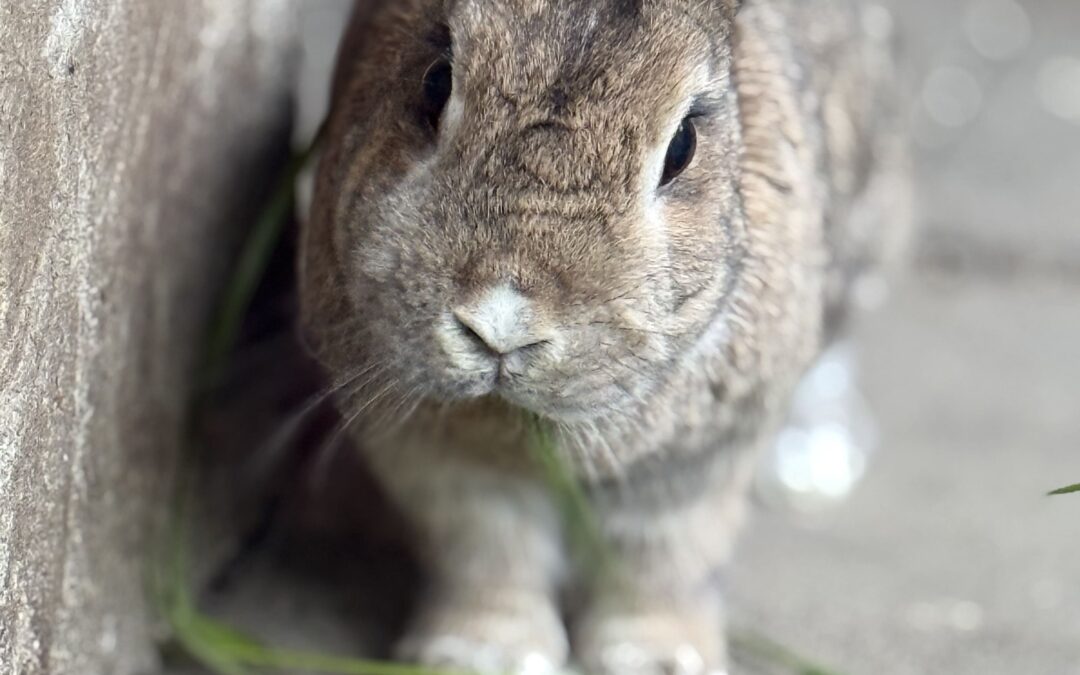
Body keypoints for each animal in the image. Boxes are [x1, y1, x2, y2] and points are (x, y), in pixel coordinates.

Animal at [298, 0, 909, 672]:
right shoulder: (445, 469)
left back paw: (814, 466)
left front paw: (655, 658)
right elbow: (488, 552)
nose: (501, 325)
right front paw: (484, 653)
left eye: (683, 145)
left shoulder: (689, 472)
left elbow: (659, 564)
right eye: (435, 82)